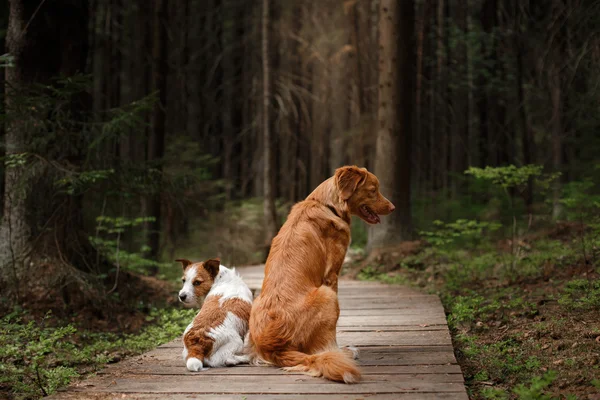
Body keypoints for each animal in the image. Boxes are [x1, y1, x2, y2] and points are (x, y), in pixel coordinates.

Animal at [247, 166, 394, 384]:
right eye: (373, 189)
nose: (393, 207)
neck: (328, 205)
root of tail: (274, 348)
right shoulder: (331, 275)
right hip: (327, 295)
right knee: (321, 348)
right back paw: (345, 352)